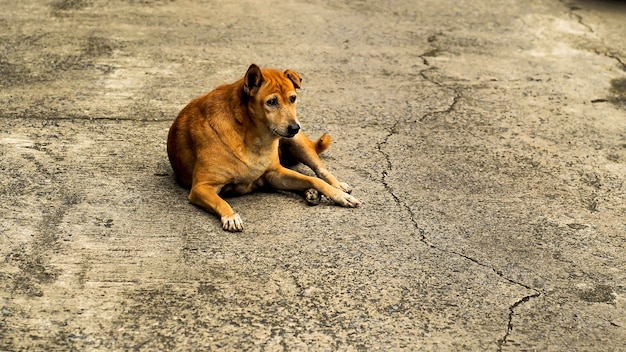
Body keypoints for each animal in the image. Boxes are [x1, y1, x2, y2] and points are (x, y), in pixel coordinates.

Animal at [166, 64, 360, 231]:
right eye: (271, 102)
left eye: (292, 98)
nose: (294, 127)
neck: (253, 137)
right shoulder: (201, 187)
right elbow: (221, 201)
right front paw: (231, 216)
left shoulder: (274, 173)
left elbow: (315, 179)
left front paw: (340, 196)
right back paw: (310, 193)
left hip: (299, 144)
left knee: (320, 170)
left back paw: (336, 185)